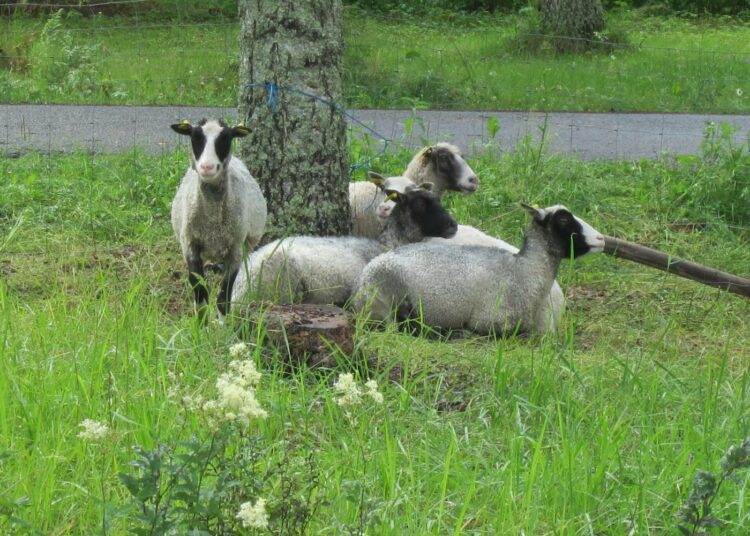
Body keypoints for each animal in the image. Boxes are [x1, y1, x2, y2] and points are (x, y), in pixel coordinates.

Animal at [170, 119, 268, 320]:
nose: (207, 167)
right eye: (195, 136)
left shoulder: (235, 248)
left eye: (226, 138)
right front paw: (200, 325)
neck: (213, 222)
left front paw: (222, 326)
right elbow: (200, 293)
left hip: (246, 244)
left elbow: (223, 298)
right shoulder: (190, 244)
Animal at [235, 185, 458, 308]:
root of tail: (241, 290)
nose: (453, 225)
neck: (388, 244)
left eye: (438, 200)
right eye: (420, 204)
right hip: (285, 288)